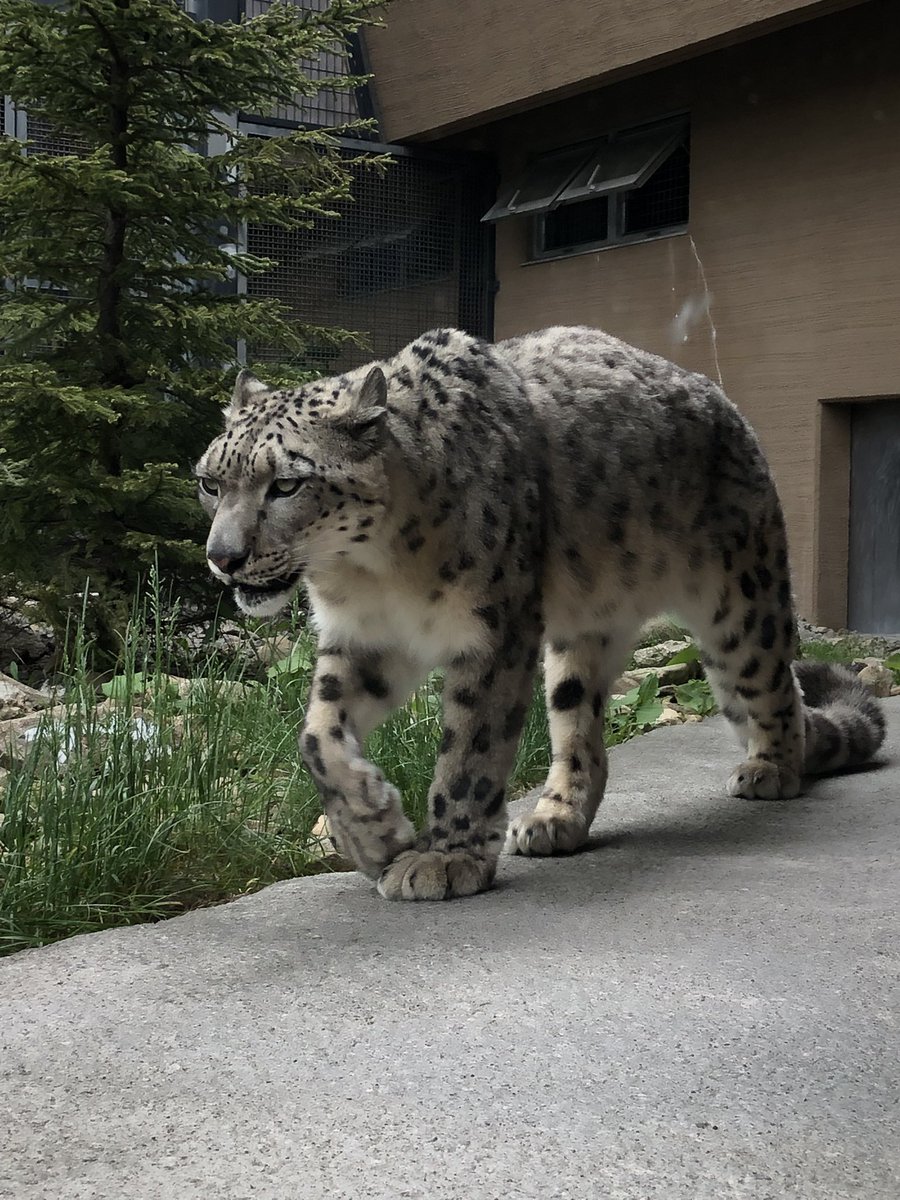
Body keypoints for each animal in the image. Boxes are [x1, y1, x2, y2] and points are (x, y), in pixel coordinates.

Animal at [195, 328, 888, 902]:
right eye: (210, 482)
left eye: (286, 483)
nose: (222, 557)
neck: (370, 573)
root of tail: (731, 410)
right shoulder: (362, 640)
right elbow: (317, 735)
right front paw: (374, 832)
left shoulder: (492, 631)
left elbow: (470, 750)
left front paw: (446, 858)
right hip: (580, 638)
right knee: (582, 731)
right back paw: (555, 818)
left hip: (741, 600)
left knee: (777, 688)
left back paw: (771, 768)